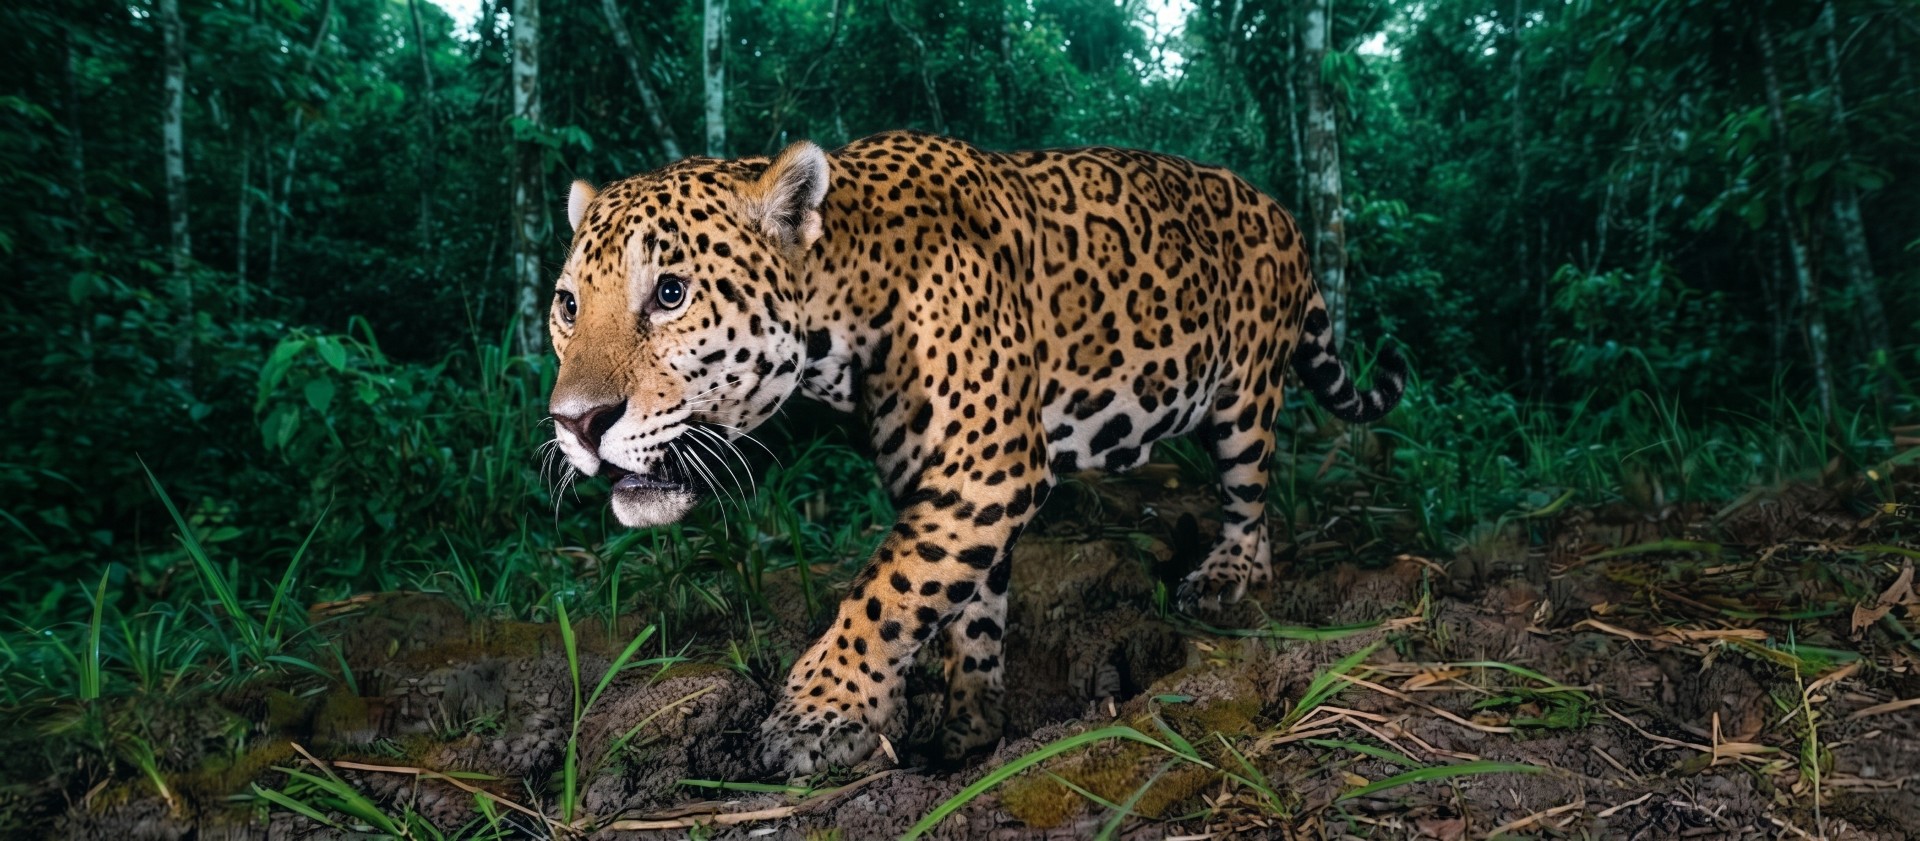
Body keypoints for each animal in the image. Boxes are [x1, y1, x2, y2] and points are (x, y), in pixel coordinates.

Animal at [545, 130, 1407, 776]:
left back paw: (1229, 574)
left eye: (671, 293)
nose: (576, 422)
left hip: (1244, 398)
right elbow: (964, 610)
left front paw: (818, 716)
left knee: (1250, 493)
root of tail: (1279, 208)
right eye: (567, 305)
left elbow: (884, 591)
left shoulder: (989, 467)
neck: (844, 299)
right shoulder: (950, 488)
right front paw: (968, 731)